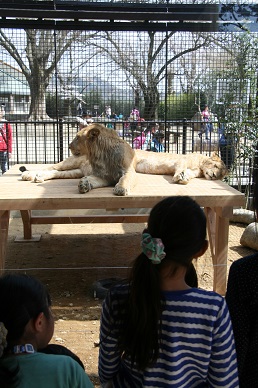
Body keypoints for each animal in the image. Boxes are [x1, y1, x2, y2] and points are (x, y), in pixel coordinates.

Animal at [21, 124, 228, 197]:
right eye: (217, 165)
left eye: (222, 172)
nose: (216, 175)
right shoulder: (180, 160)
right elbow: (181, 166)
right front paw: (180, 176)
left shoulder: (115, 174)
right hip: (70, 162)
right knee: (51, 166)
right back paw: (29, 174)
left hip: (74, 171)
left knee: (55, 173)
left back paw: (37, 177)